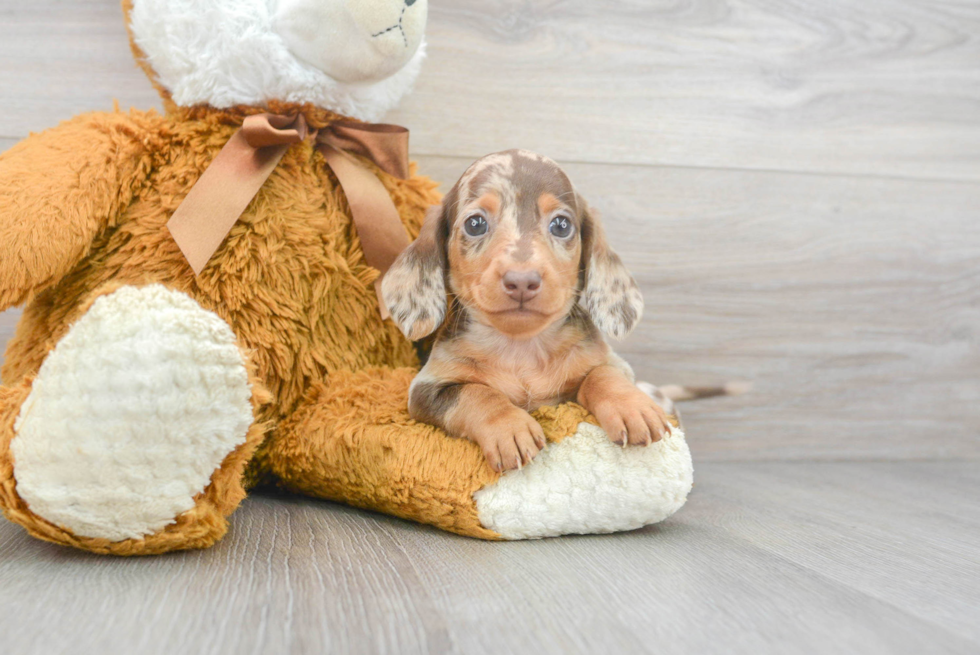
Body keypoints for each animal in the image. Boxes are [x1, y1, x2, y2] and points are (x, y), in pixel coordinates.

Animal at [378, 150, 668, 472]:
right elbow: (477, 393)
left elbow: (602, 374)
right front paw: (509, 428)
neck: (522, 348)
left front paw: (633, 407)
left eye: (561, 225)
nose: (521, 281)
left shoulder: (608, 367)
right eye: (475, 223)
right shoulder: (426, 389)